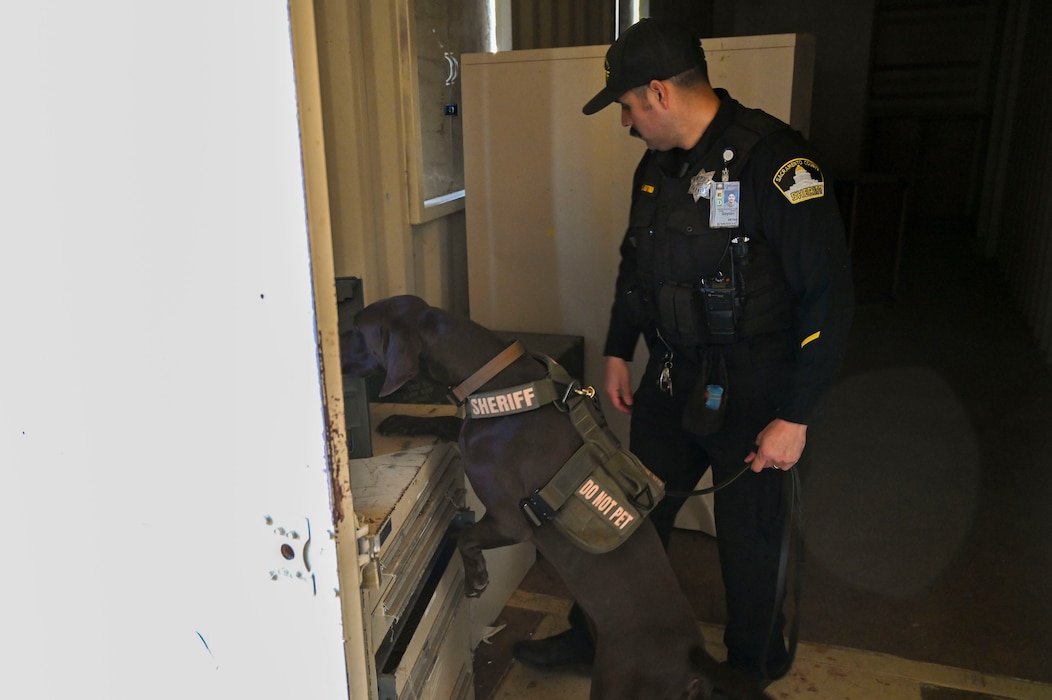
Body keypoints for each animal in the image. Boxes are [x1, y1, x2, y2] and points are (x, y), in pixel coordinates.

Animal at [340, 294, 770, 698]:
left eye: (357, 329)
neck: (494, 383)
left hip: (617, 680)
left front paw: (476, 578)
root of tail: (693, 656)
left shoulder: (510, 521)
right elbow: (445, 423)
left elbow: (464, 535)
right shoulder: (467, 434)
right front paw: (400, 420)